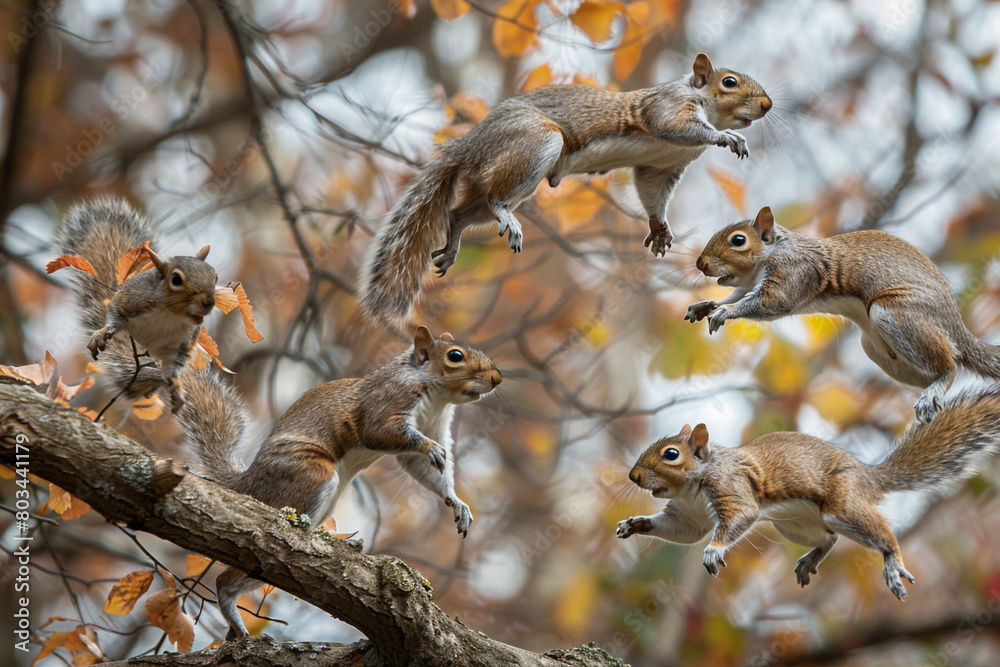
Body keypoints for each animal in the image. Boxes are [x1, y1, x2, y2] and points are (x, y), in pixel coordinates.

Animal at [57, 197, 217, 412]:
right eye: (176, 279)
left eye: (215, 277)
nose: (208, 302)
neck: (170, 314)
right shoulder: (134, 300)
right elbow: (115, 313)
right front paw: (102, 333)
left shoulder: (184, 340)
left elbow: (175, 366)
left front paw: (177, 387)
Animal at [169, 325, 502, 637]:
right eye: (455, 356)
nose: (497, 378)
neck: (436, 397)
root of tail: (247, 484)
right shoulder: (388, 399)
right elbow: (379, 431)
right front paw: (429, 447)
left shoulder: (434, 424)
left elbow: (425, 468)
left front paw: (456, 502)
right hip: (312, 475)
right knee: (229, 576)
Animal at [359, 52, 772, 325]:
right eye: (729, 82)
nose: (767, 105)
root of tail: (470, 144)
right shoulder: (669, 109)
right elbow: (680, 126)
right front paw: (726, 136)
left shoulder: (662, 166)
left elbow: (651, 192)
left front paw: (659, 229)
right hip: (533, 144)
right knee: (494, 198)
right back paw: (506, 215)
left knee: (460, 213)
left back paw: (452, 246)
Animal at [617, 388, 1000, 600]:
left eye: (671, 454)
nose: (634, 475)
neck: (692, 486)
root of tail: (869, 476)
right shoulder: (688, 513)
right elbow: (683, 530)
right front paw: (635, 524)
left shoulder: (730, 486)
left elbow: (738, 516)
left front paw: (714, 550)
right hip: (794, 523)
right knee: (829, 538)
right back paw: (812, 558)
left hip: (842, 504)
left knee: (877, 534)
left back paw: (892, 561)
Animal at [684, 206, 1000, 423]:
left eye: (738, 240)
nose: (700, 264)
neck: (773, 253)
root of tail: (956, 327)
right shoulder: (749, 284)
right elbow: (736, 294)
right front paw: (708, 304)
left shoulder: (795, 270)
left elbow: (772, 301)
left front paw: (726, 312)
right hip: (879, 351)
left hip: (897, 314)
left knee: (951, 365)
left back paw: (937, 385)